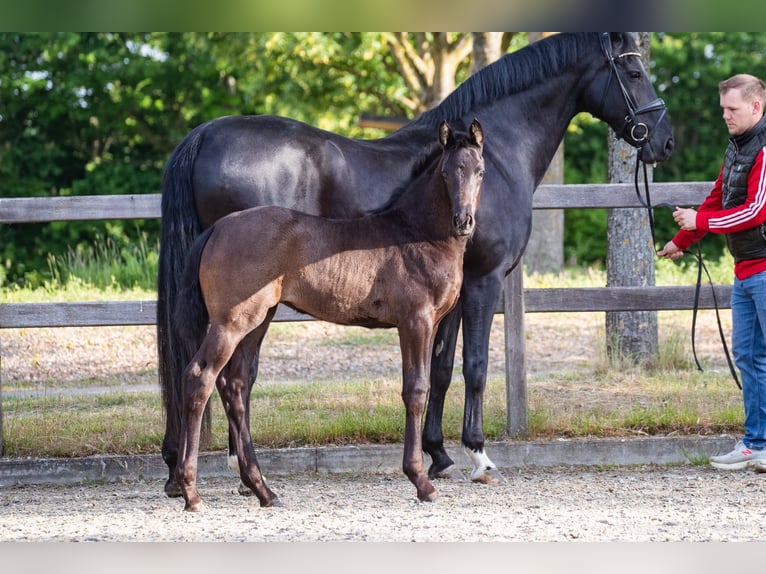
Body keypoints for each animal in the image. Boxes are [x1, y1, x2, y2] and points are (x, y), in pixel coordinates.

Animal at [172, 120, 485, 510]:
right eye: (446, 172)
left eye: (479, 170)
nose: (463, 221)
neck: (417, 234)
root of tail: (217, 228)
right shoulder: (416, 321)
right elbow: (416, 390)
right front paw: (421, 481)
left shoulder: (434, 323)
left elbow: (427, 383)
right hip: (230, 322)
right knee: (200, 378)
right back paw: (191, 492)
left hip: (258, 320)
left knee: (235, 384)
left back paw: (264, 490)